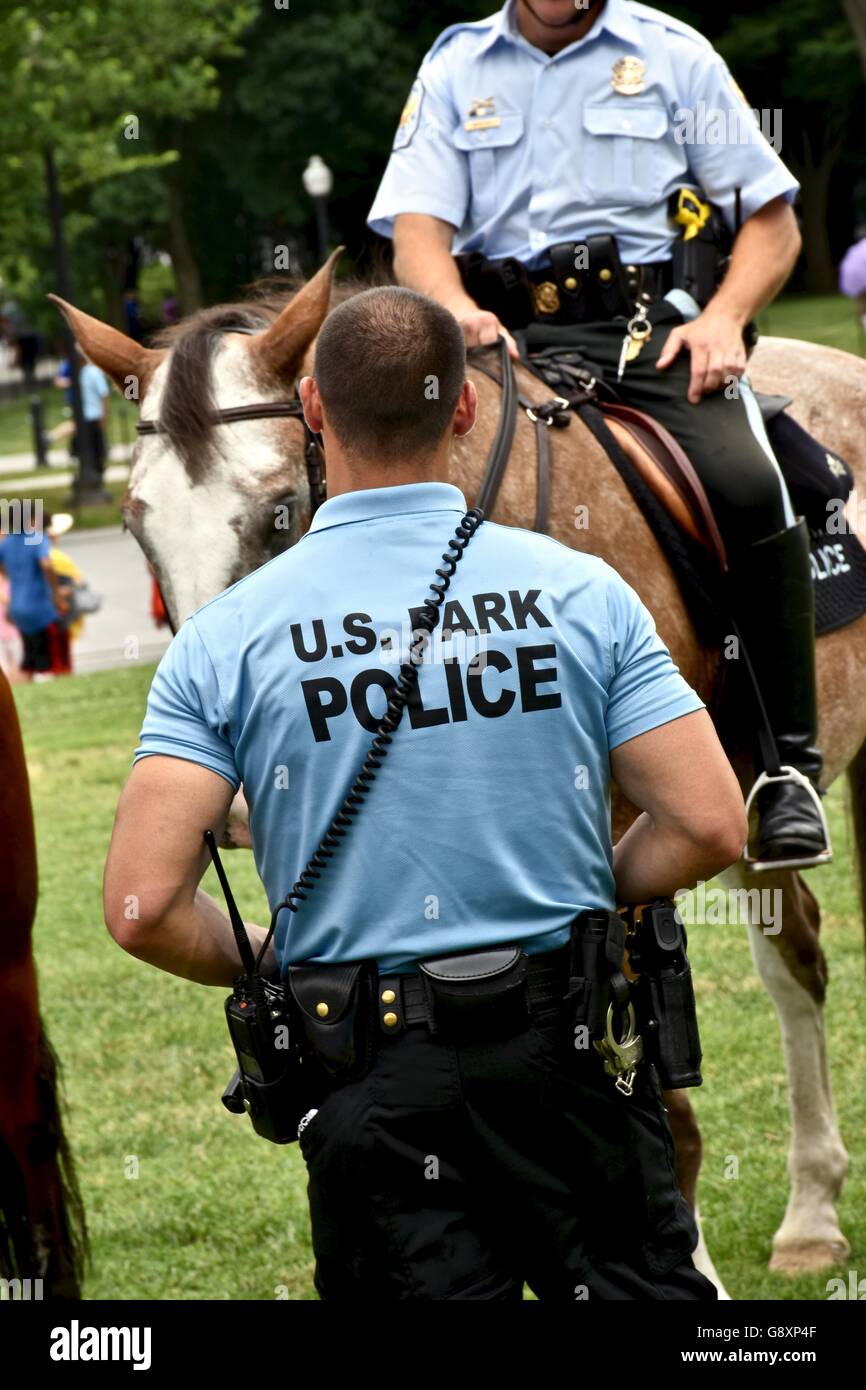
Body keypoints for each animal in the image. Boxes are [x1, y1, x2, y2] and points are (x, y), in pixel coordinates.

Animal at [50, 255, 866, 1284]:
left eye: (278, 512)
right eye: (137, 528)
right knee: (795, 956)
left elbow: (643, 1071)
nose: (226, 800)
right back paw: (812, 1210)